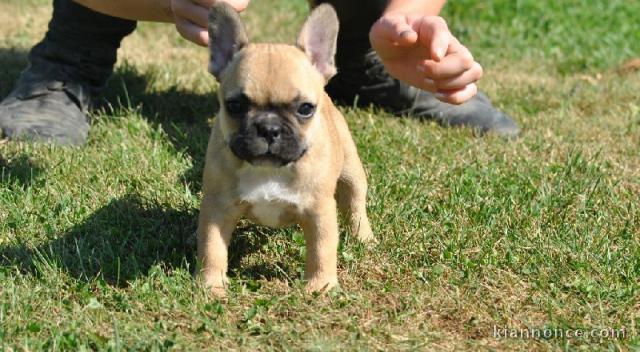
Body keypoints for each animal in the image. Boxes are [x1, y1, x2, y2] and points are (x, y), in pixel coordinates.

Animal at [198, 2, 372, 296]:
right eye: (234, 106)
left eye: (305, 109)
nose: (269, 128)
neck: (269, 171)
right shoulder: (217, 208)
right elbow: (212, 247)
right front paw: (211, 286)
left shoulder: (319, 211)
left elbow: (322, 250)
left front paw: (320, 287)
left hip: (351, 171)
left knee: (356, 203)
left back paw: (364, 238)